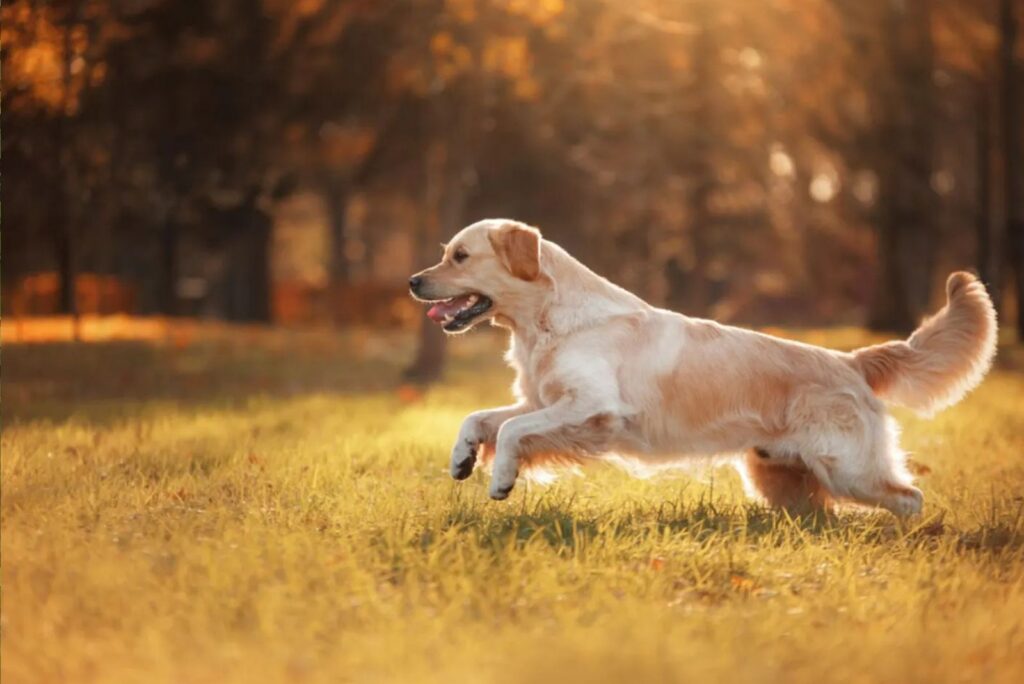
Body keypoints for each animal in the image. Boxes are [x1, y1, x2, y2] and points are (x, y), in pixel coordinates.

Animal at [409, 218, 999, 511]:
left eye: (460, 256)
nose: (413, 281)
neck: (546, 322)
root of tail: (851, 360)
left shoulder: (591, 406)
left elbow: (512, 431)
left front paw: (500, 480)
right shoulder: (541, 400)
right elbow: (481, 417)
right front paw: (462, 458)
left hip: (849, 468)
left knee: (911, 497)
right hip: (782, 479)